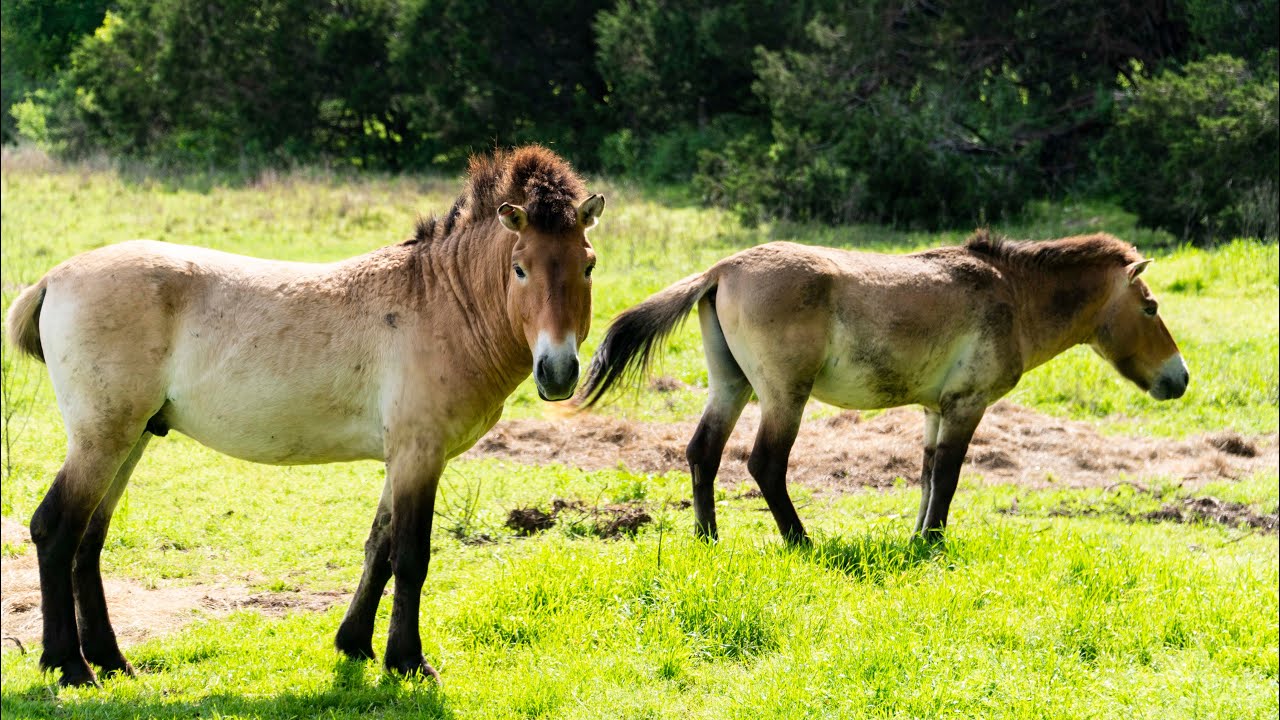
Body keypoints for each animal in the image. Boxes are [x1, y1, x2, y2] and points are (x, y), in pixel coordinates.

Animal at [3, 145, 605, 687]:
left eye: (588, 266)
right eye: (520, 268)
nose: (558, 371)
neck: (439, 302)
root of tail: (53, 279)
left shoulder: (402, 457)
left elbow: (378, 548)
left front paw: (355, 645)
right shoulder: (420, 454)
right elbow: (410, 557)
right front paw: (409, 662)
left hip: (130, 438)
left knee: (88, 540)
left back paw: (111, 660)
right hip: (102, 438)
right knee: (55, 529)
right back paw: (69, 666)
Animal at [578, 231, 1188, 544]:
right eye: (1151, 306)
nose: (1179, 378)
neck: (1012, 294)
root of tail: (721, 269)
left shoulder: (936, 410)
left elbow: (927, 476)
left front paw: (919, 534)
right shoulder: (966, 406)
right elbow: (949, 477)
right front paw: (932, 542)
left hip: (731, 386)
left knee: (703, 452)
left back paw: (709, 538)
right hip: (783, 396)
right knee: (765, 464)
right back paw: (800, 540)